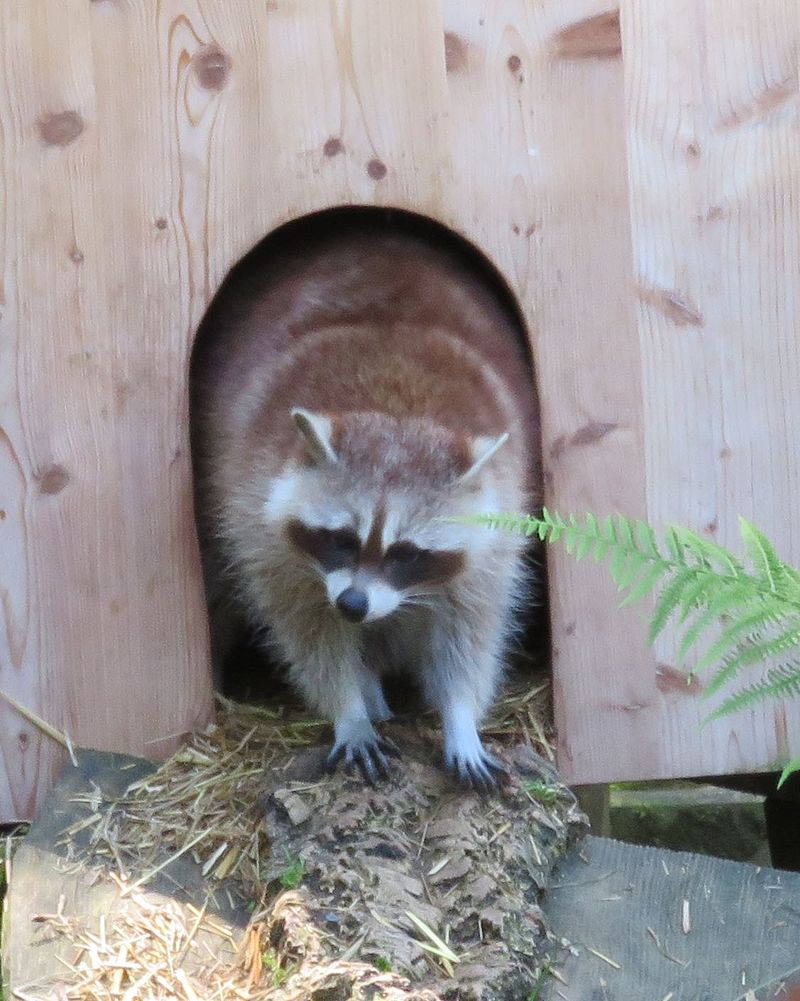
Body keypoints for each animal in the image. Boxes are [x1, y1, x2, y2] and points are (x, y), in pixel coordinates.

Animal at [192, 209, 544, 788]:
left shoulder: (500, 531)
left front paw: (460, 717)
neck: (394, 411)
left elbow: (472, 629)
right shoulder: (254, 510)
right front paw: (349, 708)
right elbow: (308, 633)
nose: (354, 604)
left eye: (408, 552)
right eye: (340, 538)